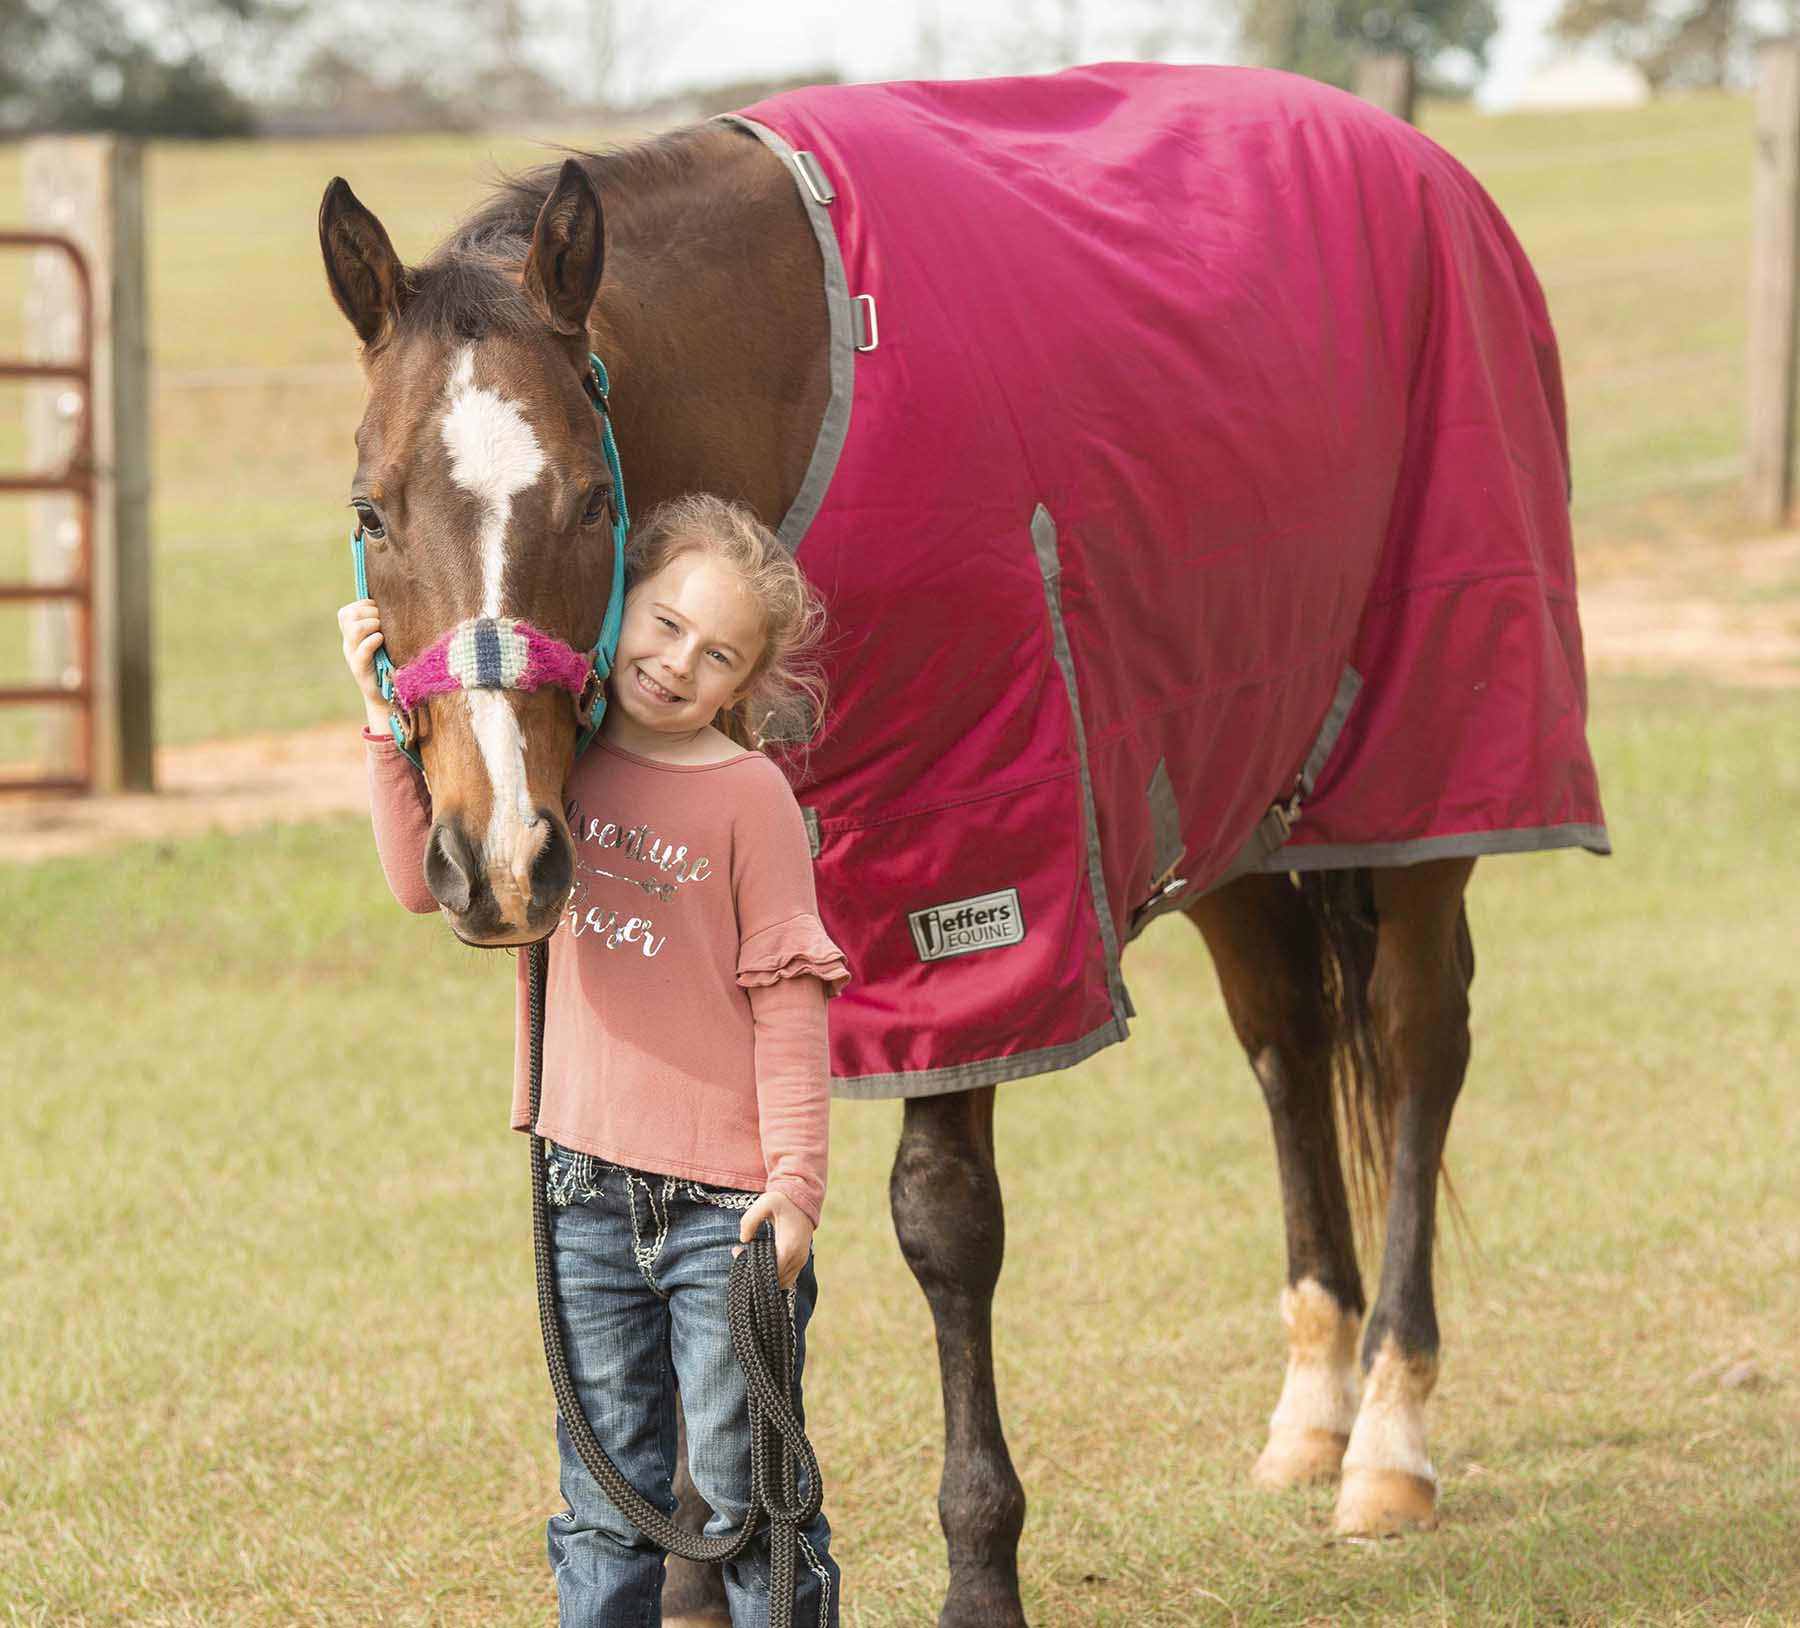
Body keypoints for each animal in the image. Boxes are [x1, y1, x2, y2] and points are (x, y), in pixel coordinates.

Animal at [320, 63, 1606, 1628]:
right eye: (374, 508)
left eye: (587, 498)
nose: (496, 854)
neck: (809, 383)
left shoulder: (973, 891)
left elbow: (943, 1223)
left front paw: (981, 1565)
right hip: (1237, 813)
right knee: (1291, 1051)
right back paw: (1314, 1411)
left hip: (1425, 787)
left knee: (1419, 1051)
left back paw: (1390, 1441)